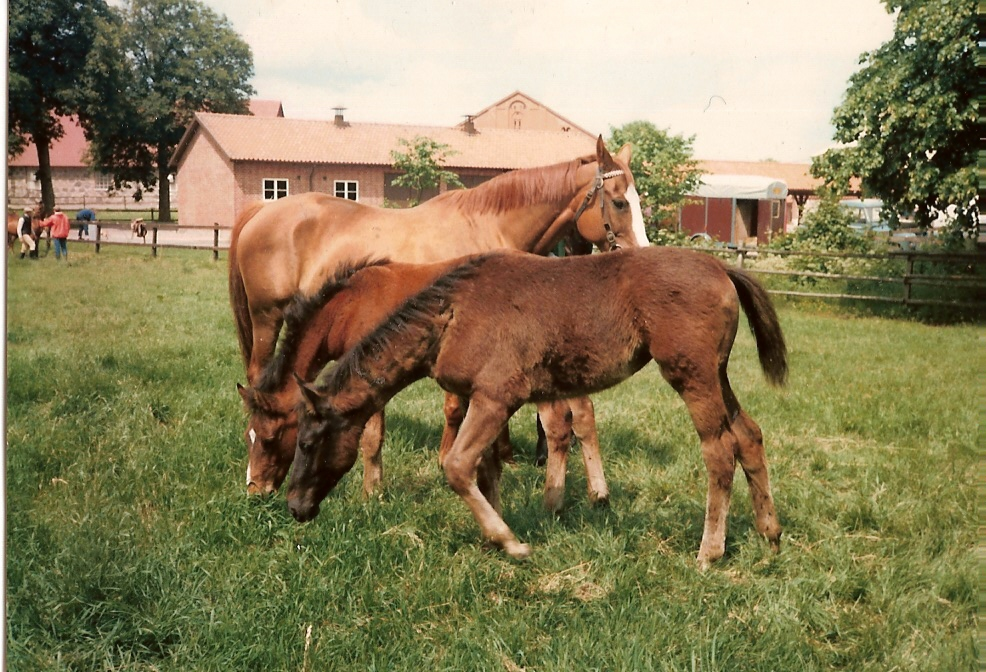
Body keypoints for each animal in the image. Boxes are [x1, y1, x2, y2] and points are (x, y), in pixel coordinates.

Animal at [237, 255, 608, 506]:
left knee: (558, 424)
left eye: (269, 438)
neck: (348, 306)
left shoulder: (369, 379)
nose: (255, 491)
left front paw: (372, 494)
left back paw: (554, 502)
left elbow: (372, 438)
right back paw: (597, 494)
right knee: (582, 415)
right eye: (247, 436)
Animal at [284, 244, 784, 568]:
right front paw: (493, 539)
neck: (453, 315)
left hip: (692, 375)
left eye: (306, 443)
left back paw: (709, 552)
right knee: (749, 435)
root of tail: (721, 267)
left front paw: (511, 543)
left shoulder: (496, 398)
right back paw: (770, 534)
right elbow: (486, 469)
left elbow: (458, 466)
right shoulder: (485, 401)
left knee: (719, 450)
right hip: (717, 374)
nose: (294, 506)